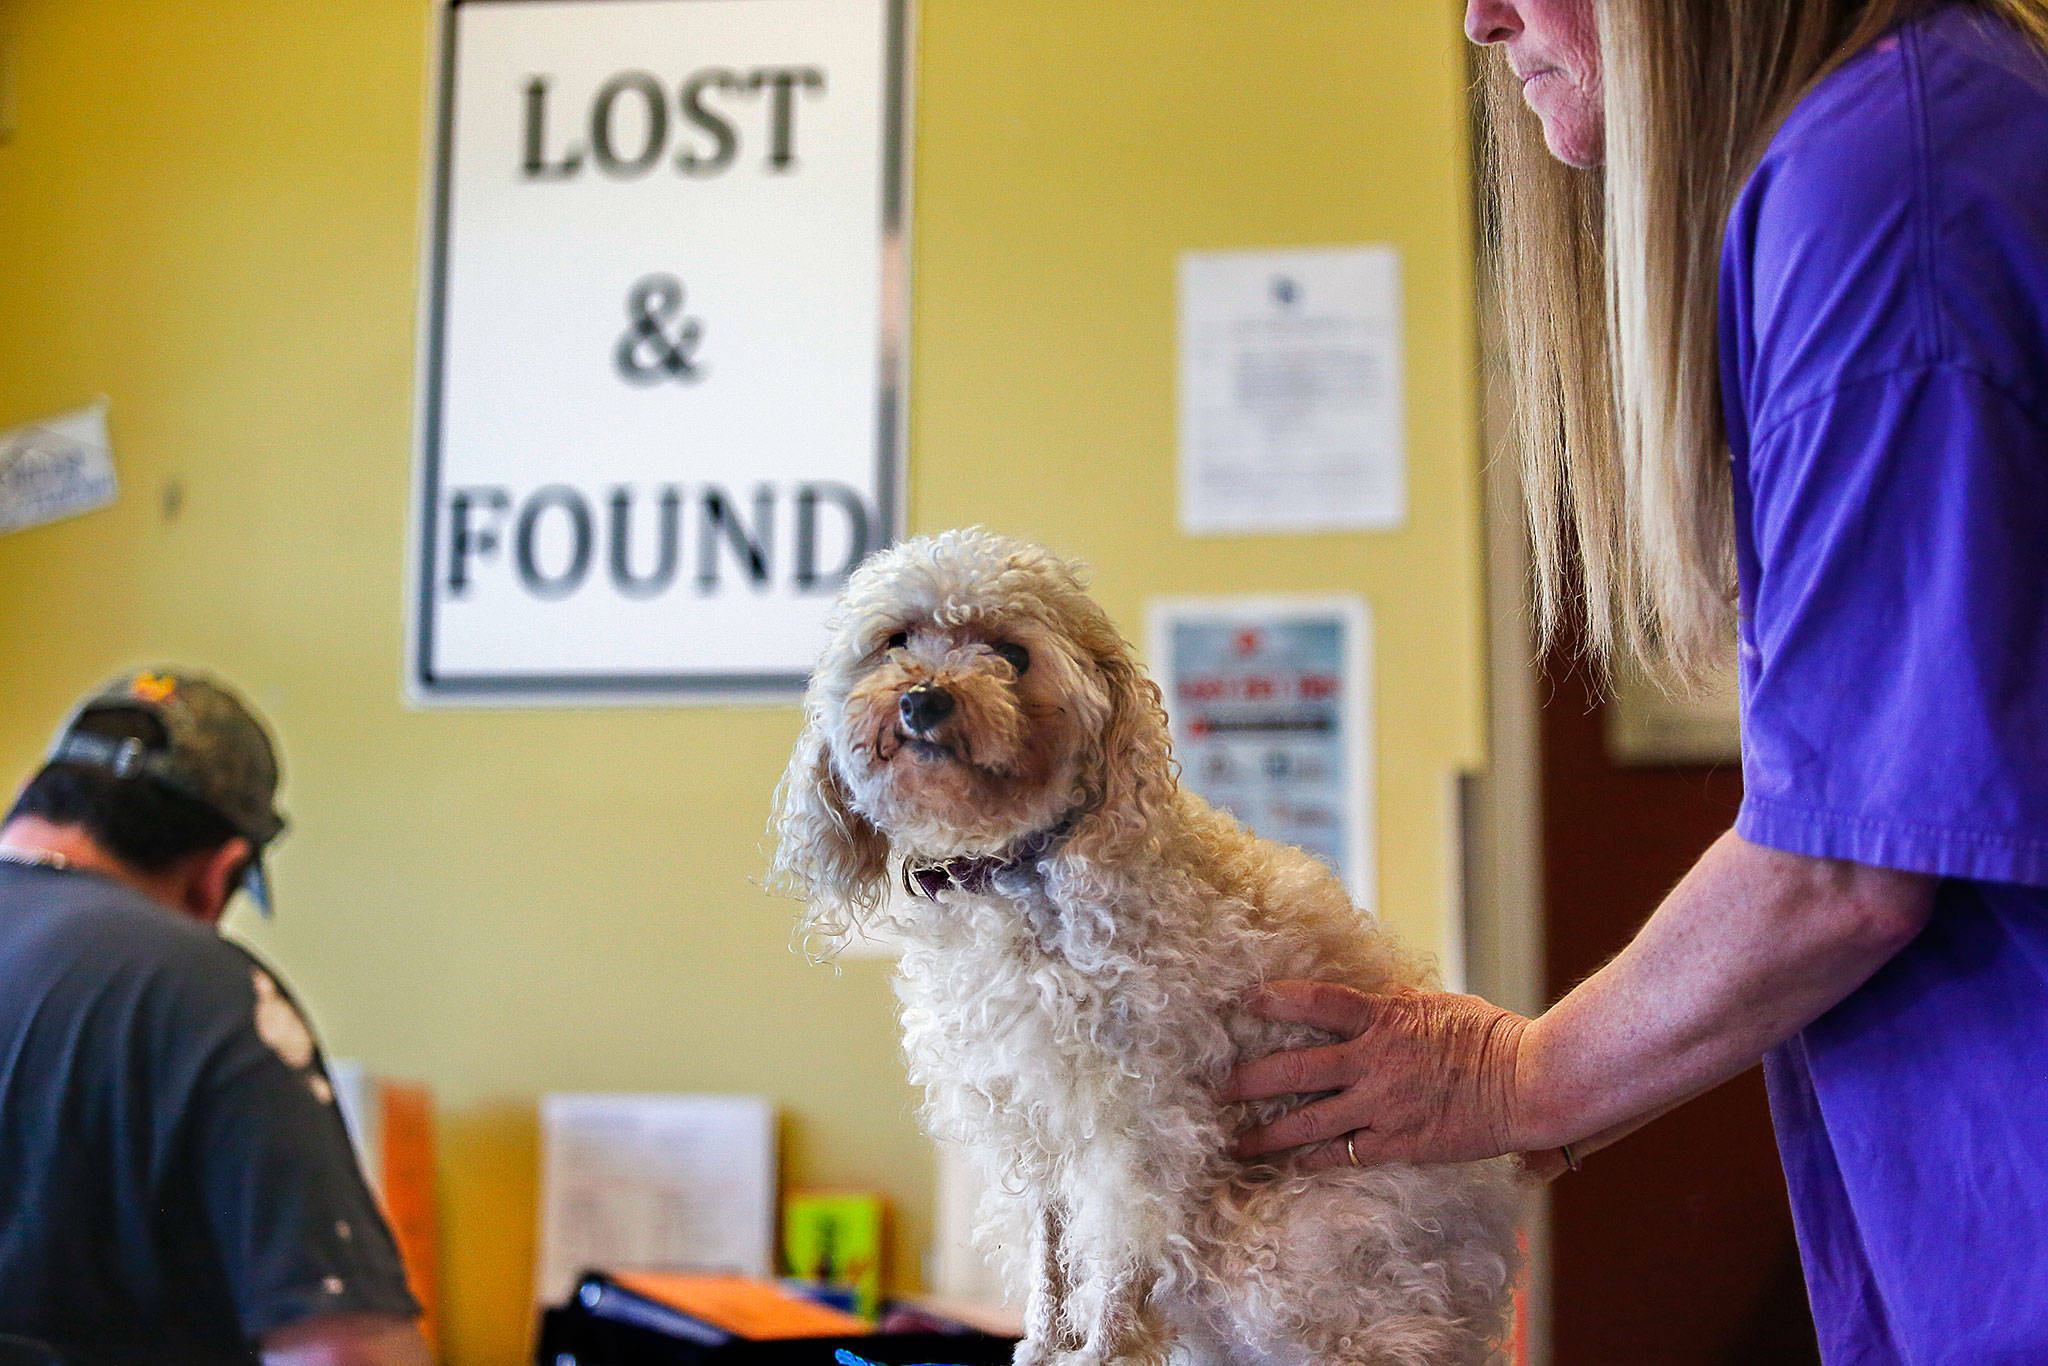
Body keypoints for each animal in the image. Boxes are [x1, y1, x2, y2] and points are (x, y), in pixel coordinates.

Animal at [774, 532, 1531, 1366]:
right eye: (896, 640)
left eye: (1012, 654)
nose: (924, 699)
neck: (1017, 875)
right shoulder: (1042, 1116)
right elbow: (1052, 1256)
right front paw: (1044, 1351)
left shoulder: (1143, 1122)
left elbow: (1117, 1259)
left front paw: (1096, 1355)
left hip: (1281, 1244)